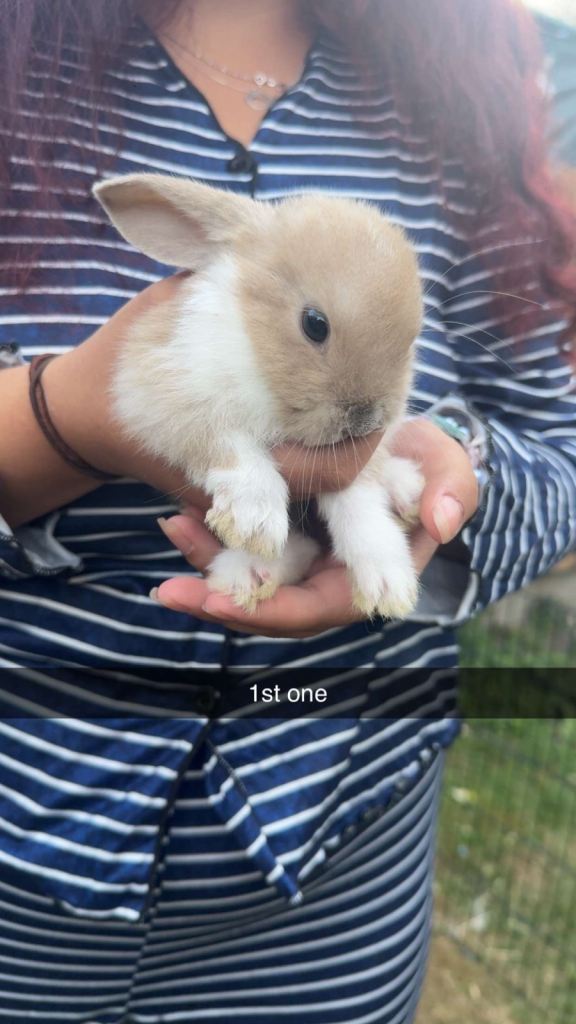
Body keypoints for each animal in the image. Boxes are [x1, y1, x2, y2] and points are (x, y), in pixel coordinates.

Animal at [93, 173, 424, 618]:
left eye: (411, 342)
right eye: (314, 324)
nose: (366, 420)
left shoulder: (356, 462)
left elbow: (359, 503)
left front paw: (388, 583)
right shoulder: (159, 390)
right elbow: (228, 445)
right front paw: (254, 521)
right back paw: (248, 574)